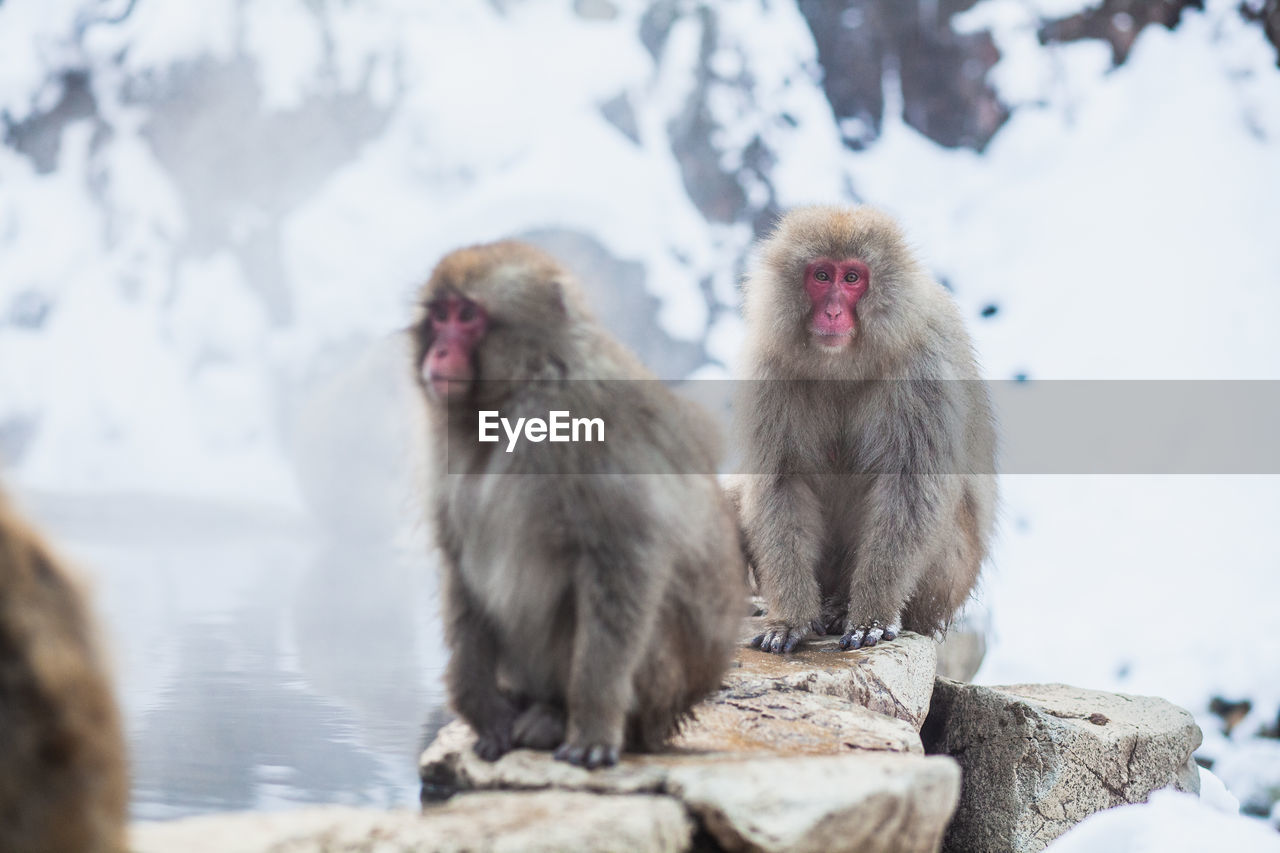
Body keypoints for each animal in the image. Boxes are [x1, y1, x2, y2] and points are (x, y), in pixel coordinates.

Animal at [409, 242, 747, 768]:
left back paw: (558, 716)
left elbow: (624, 557)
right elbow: (460, 563)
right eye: (441, 315)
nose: (439, 351)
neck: (523, 387)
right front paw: (481, 707)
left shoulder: (586, 421)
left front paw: (591, 725)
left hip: (661, 685)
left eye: (467, 316)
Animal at [737, 206, 993, 650]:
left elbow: (911, 489)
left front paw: (871, 615)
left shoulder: (925, 369)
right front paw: (789, 618)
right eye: (823, 276)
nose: (833, 313)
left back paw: (843, 607)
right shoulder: (767, 369)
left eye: (852, 278)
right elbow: (780, 482)